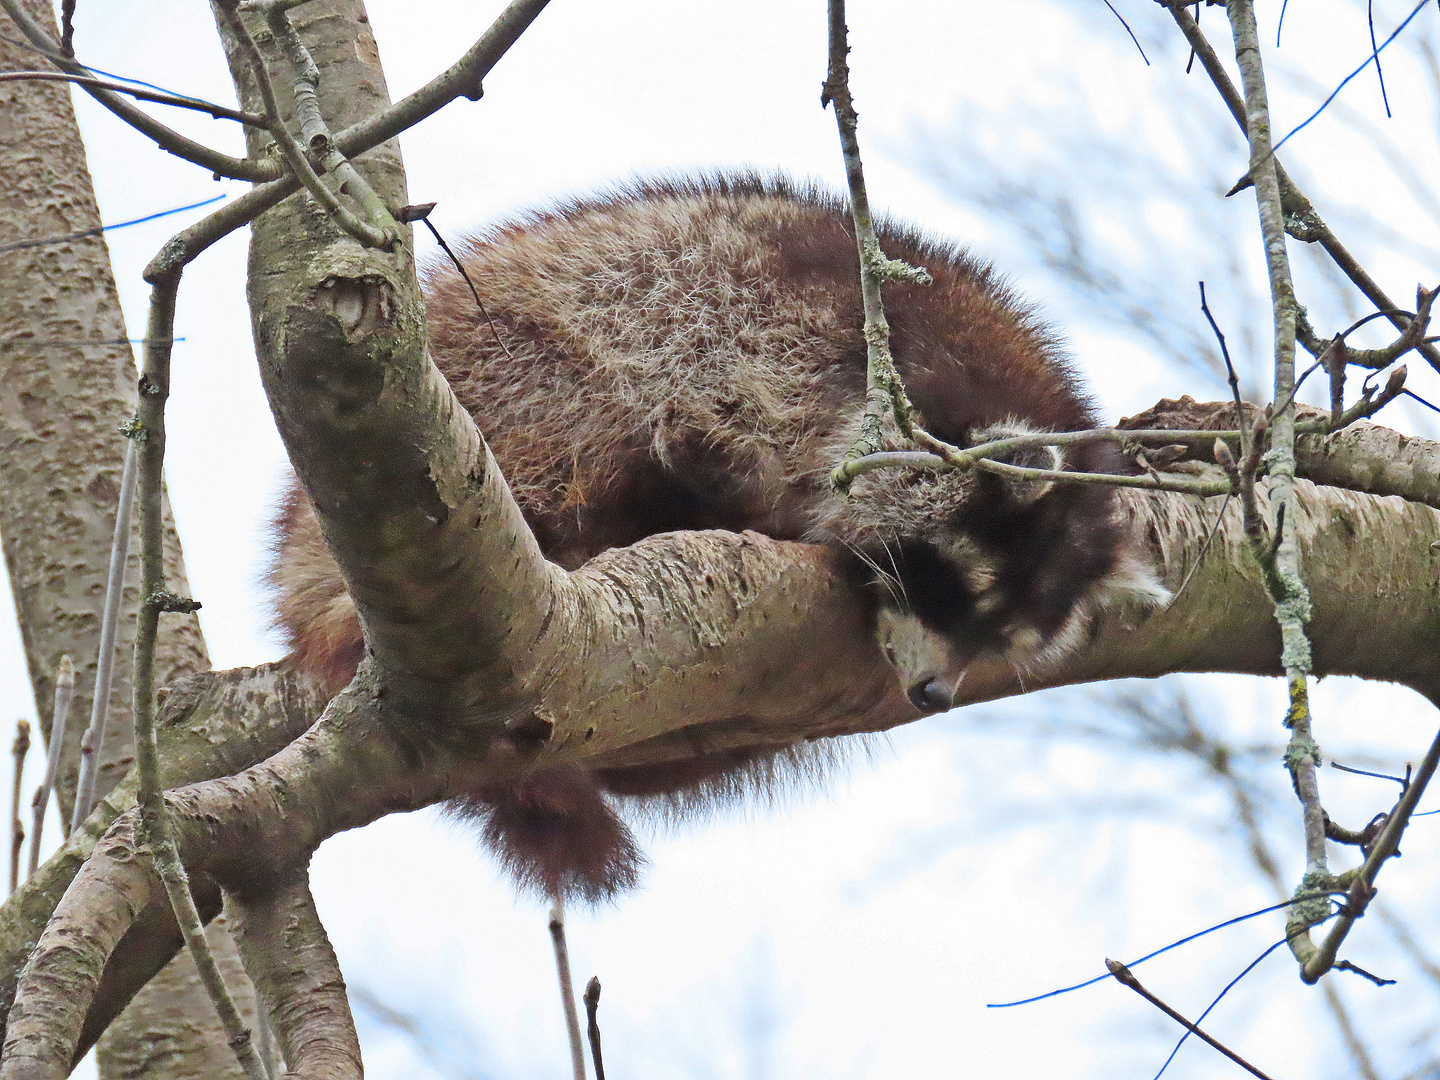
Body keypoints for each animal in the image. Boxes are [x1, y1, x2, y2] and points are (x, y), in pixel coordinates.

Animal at [270, 175, 1163, 904]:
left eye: (1001, 639)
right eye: (953, 587)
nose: (935, 694)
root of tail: (298, 537)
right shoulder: (773, 344)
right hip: (512, 372)